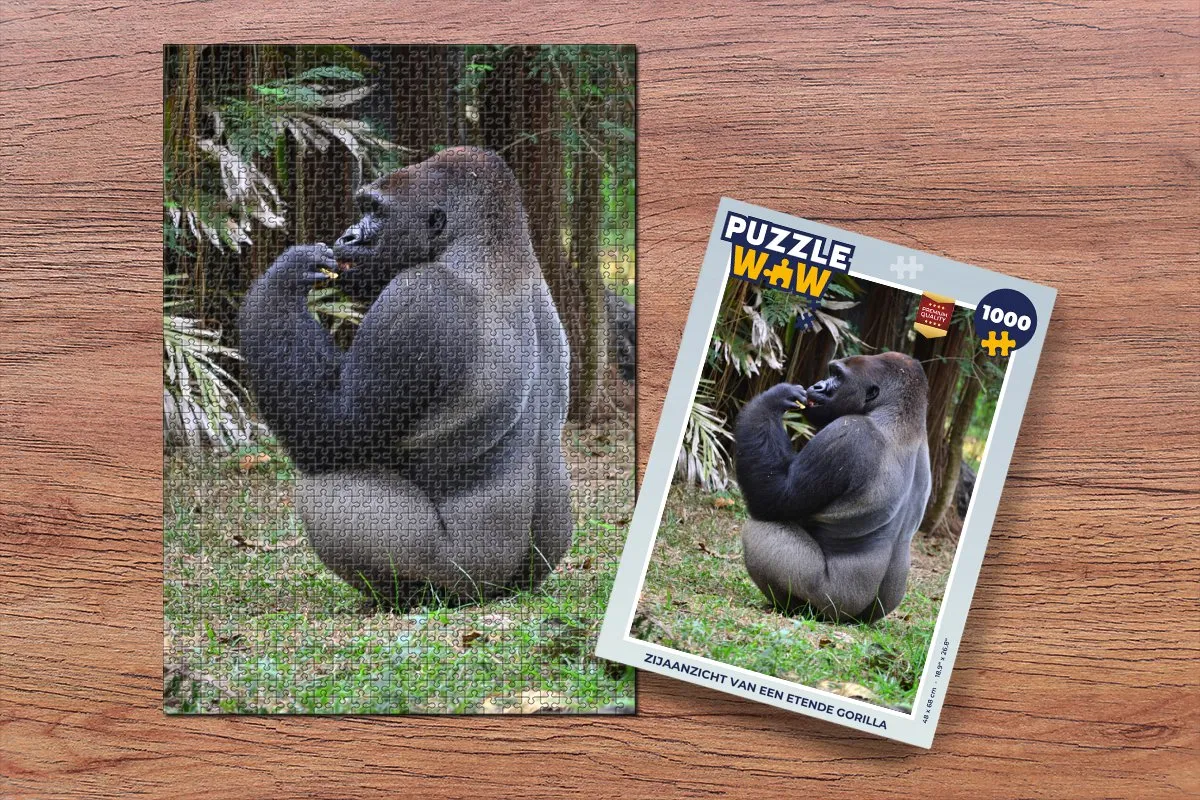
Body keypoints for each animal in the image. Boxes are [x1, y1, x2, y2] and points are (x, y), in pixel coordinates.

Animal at [238, 147, 572, 606]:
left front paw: (285, 276)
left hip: (460, 581)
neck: (489, 252)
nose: (348, 236)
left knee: (324, 485)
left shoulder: (414, 299)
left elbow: (331, 429)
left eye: (376, 211)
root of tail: (505, 590)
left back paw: (398, 597)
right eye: (364, 208)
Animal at [734, 352, 930, 623]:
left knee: (761, 529)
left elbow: (774, 498)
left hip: (831, 604)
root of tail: (854, 620)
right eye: (831, 372)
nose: (817, 386)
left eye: (837, 376)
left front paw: (773, 398)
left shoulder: (848, 433)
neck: (902, 418)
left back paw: (789, 607)